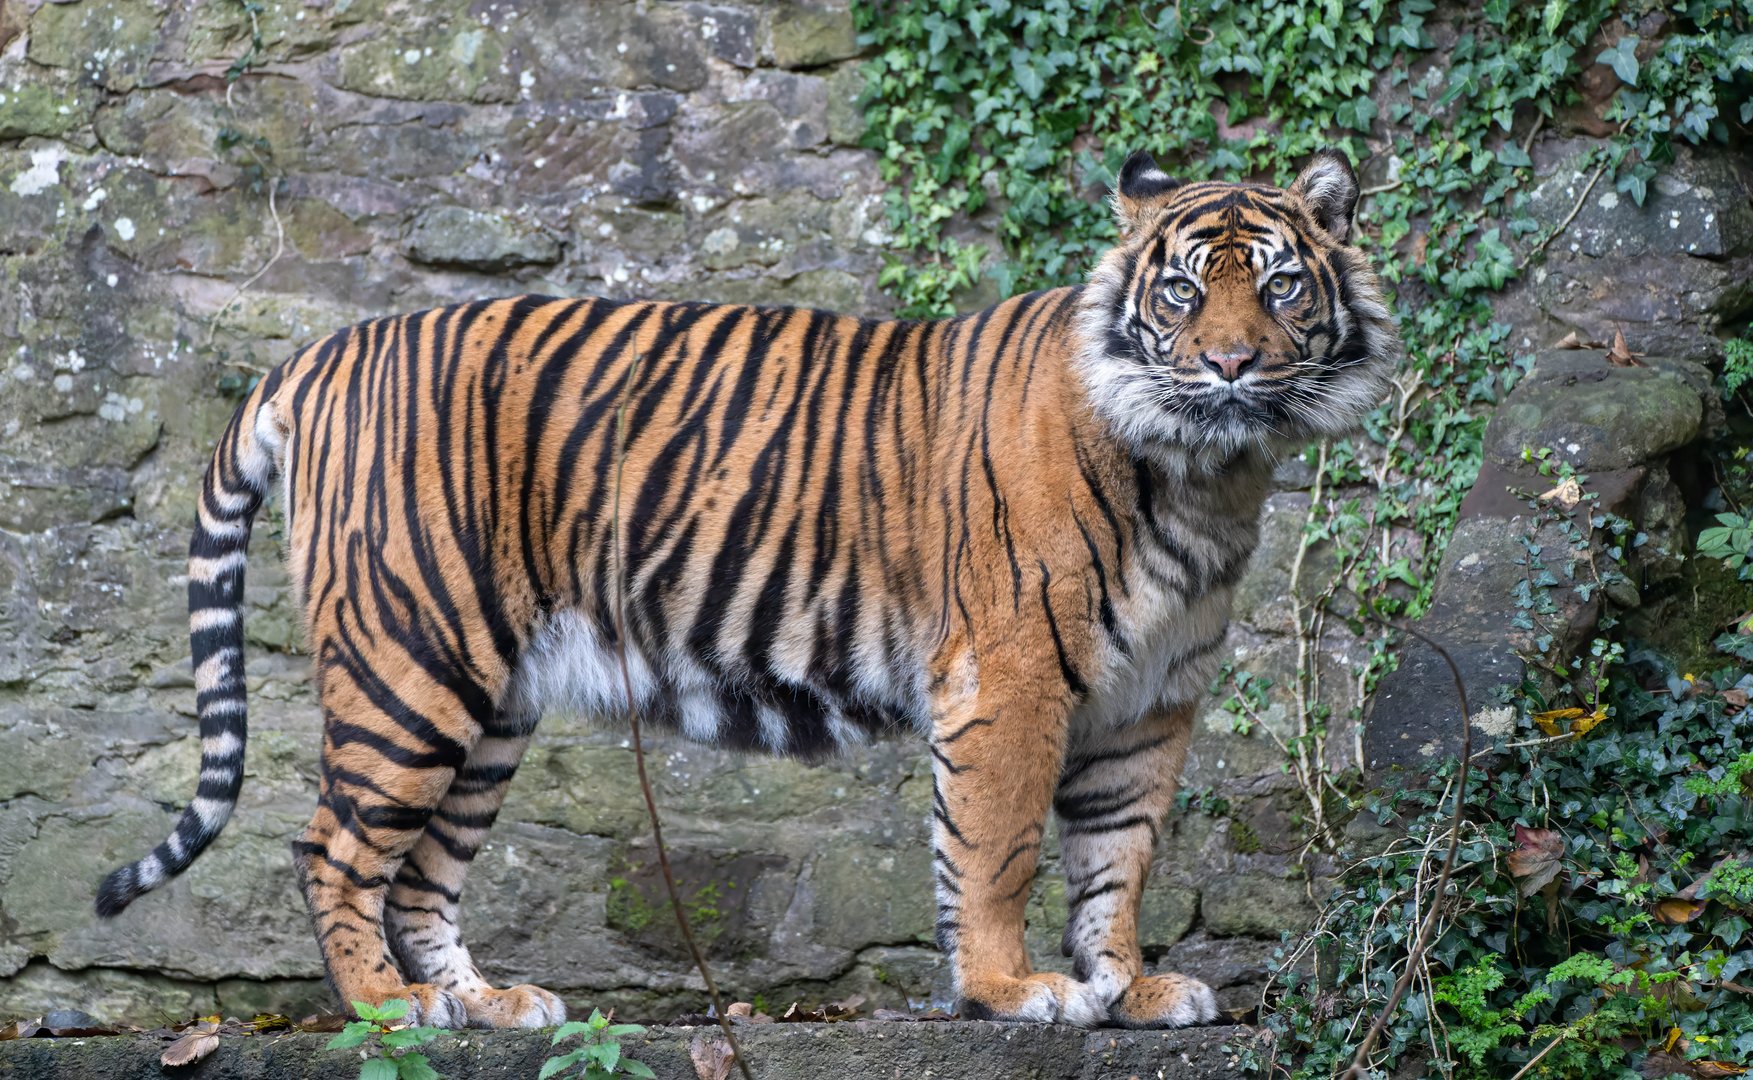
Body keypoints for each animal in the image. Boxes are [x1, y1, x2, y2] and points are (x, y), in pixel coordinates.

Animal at [94, 149, 1397, 1030]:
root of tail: (324, 351)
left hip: (492, 700)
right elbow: (996, 848)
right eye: (1180, 294)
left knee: (421, 874)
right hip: (412, 661)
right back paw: (390, 1011)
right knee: (330, 847)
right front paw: (1013, 988)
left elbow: (1117, 857)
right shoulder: (1015, 672)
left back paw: (491, 1007)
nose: (1229, 365)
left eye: (1280, 288)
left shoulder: (1149, 698)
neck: (1207, 471)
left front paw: (1126, 988)